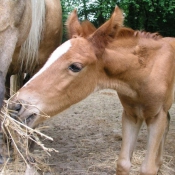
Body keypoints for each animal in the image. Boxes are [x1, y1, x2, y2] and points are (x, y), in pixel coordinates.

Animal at [7, 6, 174, 175]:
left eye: (75, 66)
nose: (15, 106)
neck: (145, 71)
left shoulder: (156, 116)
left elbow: (147, 168)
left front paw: (155, 165)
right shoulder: (131, 114)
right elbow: (123, 163)